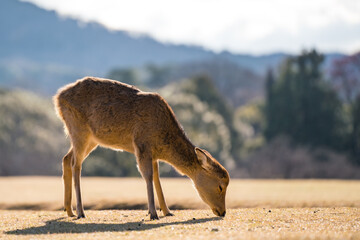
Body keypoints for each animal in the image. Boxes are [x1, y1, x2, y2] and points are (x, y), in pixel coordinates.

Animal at [52, 77, 229, 219]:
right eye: (221, 186)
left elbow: (157, 177)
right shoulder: (142, 145)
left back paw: (69, 210)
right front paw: (153, 213)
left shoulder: (153, 154)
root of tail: (58, 97)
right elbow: (148, 175)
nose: (223, 212)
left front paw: (167, 211)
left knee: (66, 159)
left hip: (91, 140)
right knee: (76, 165)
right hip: (78, 130)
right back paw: (81, 212)